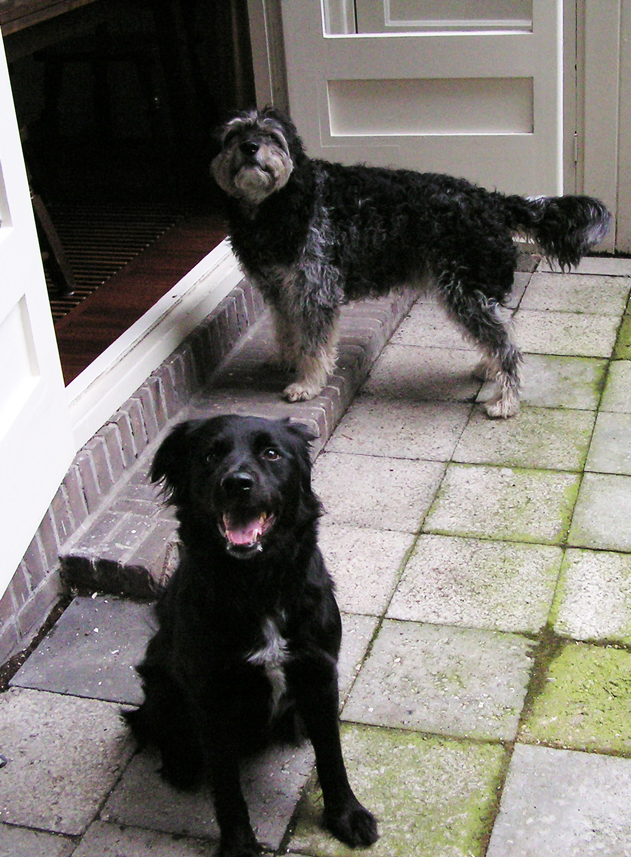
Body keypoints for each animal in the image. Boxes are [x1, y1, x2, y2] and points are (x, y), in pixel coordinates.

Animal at [124, 415, 378, 857]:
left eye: (271, 453)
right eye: (210, 456)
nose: (237, 483)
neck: (257, 583)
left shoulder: (319, 673)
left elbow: (332, 755)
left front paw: (346, 815)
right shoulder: (210, 697)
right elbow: (227, 788)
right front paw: (240, 846)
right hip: (159, 679)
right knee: (154, 724)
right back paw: (179, 763)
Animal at [211, 107, 611, 418]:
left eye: (272, 135)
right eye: (234, 134)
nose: (249, 147)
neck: (276, 206)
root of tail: (491, 201)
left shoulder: (315, 290)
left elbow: (314, 343)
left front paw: (307, 384)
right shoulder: (279, 289)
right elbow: (285, 330)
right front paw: (287, 360)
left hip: (465, 293)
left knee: (508, 346)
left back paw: (506, 401)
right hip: (475, 293)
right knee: (502, 332)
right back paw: (489, 369)